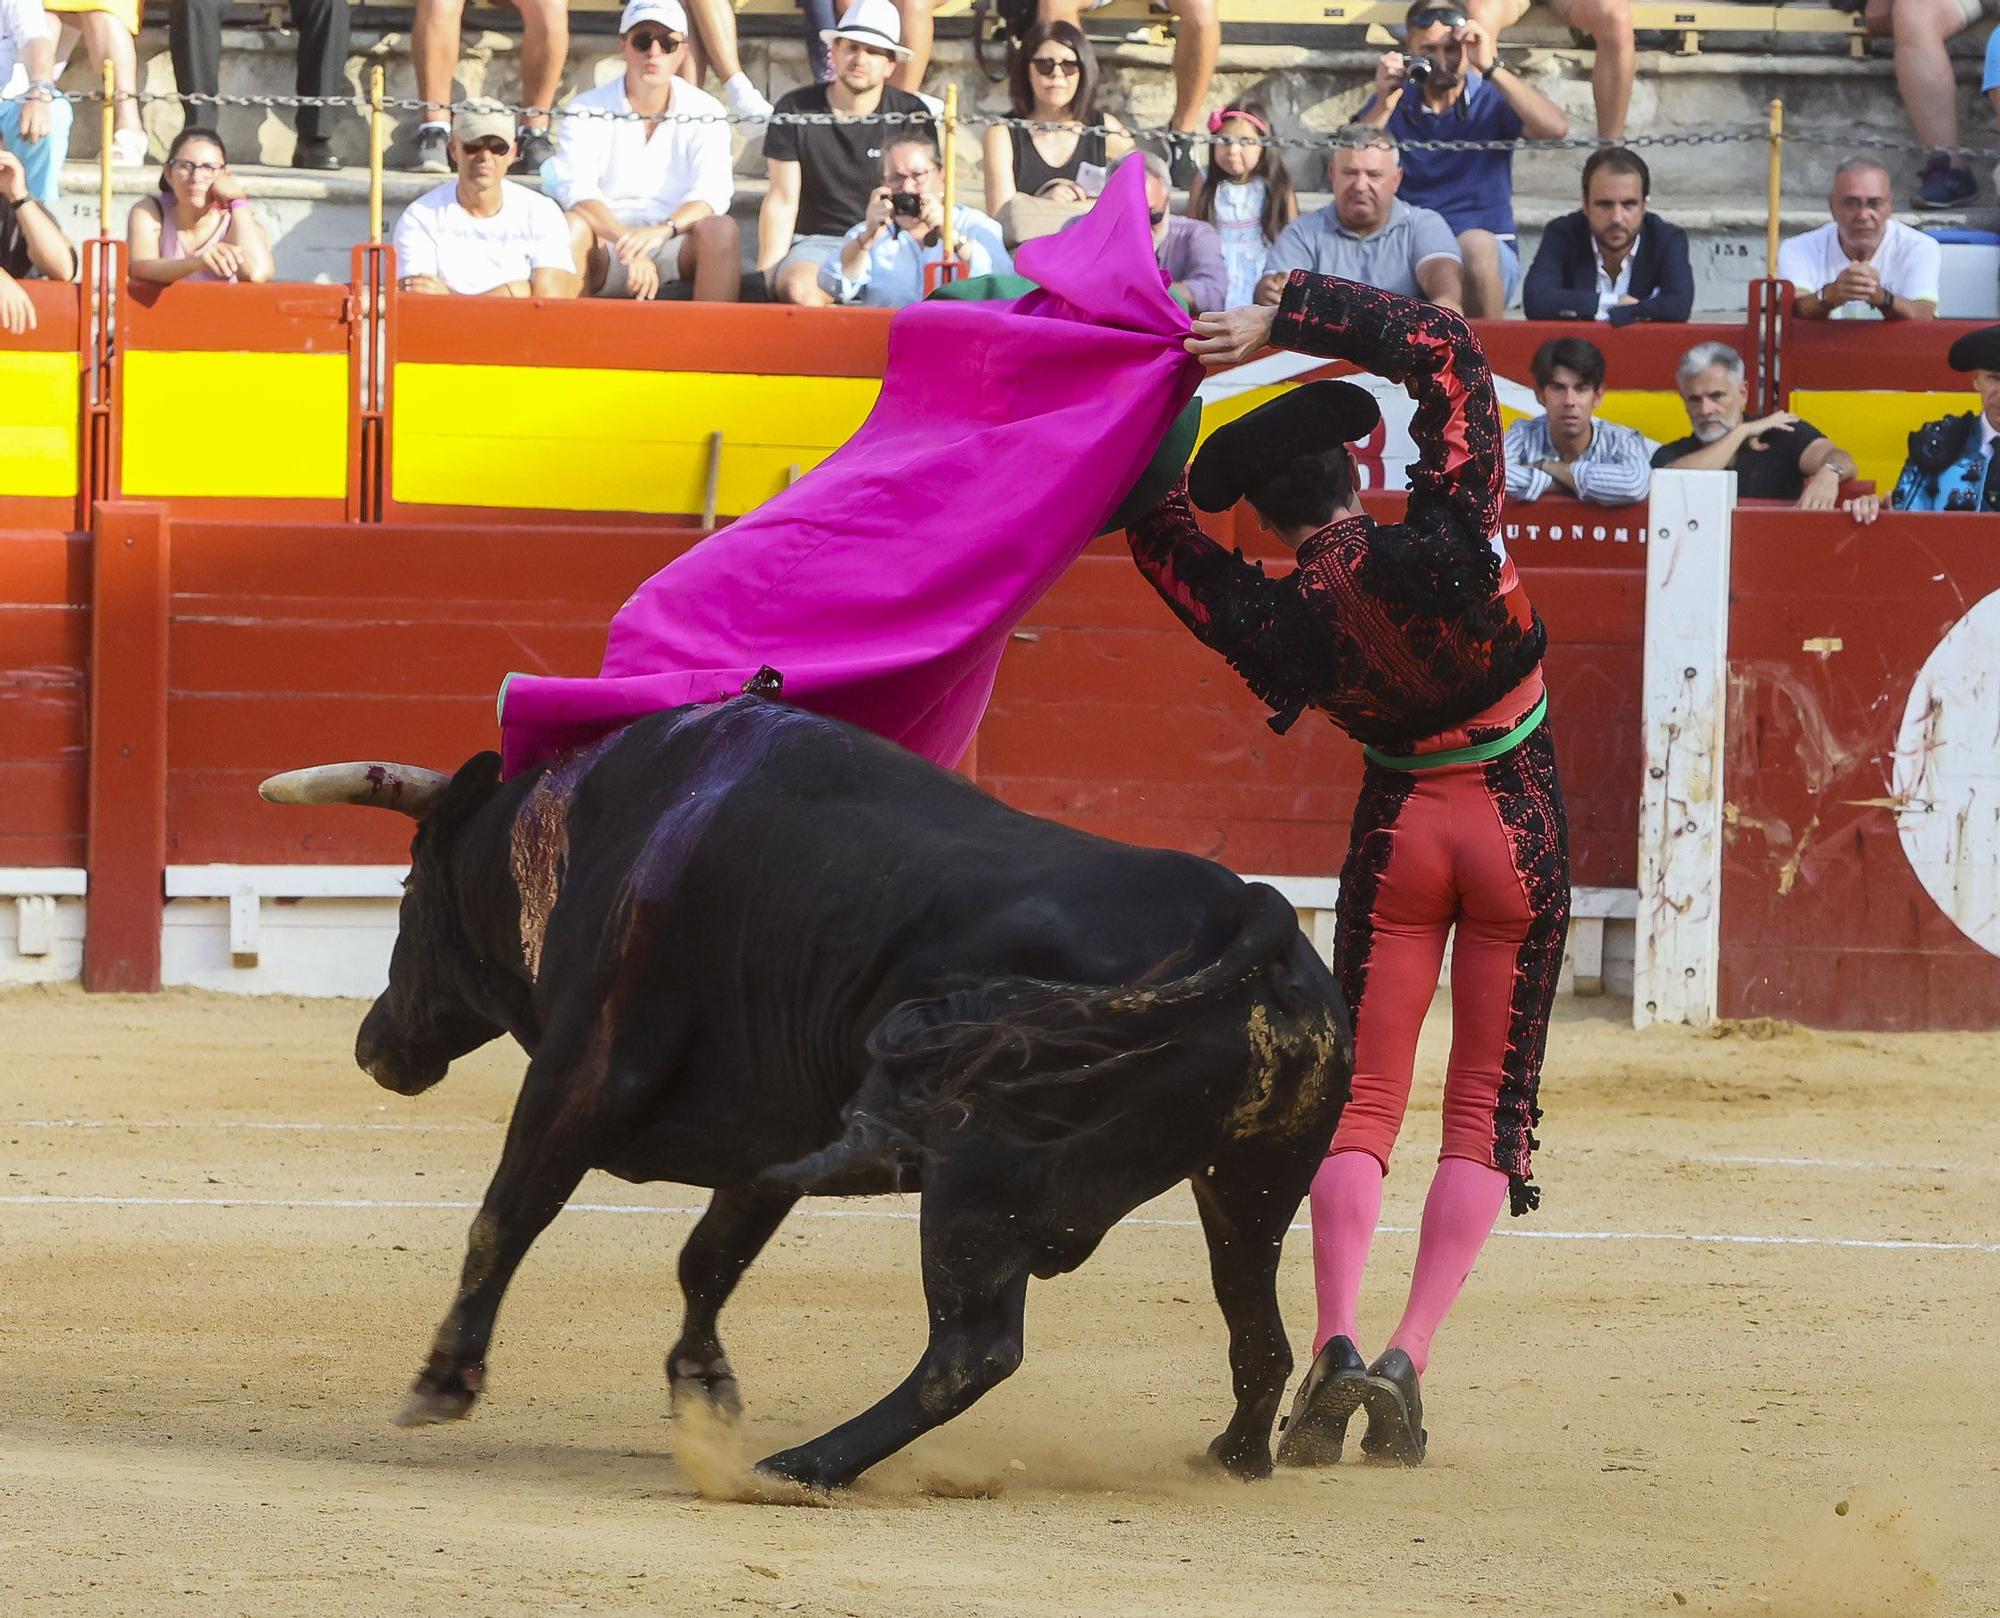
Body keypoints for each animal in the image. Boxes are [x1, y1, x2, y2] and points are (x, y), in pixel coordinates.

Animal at [266, 696, 1352, 1488]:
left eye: (410, 892)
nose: (374, 1044)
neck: (599, 829)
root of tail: (1248, 911)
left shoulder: (580, 1070)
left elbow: (507, 1215)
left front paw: (442, 1383)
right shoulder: (772, 1127)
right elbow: (708, 1257)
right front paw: (704, 1388)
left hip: (979, 1183)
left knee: (972, 1350)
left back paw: (803, 1465)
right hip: (1250, 1179)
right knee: (1254, 1323)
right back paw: (1235, 1457)